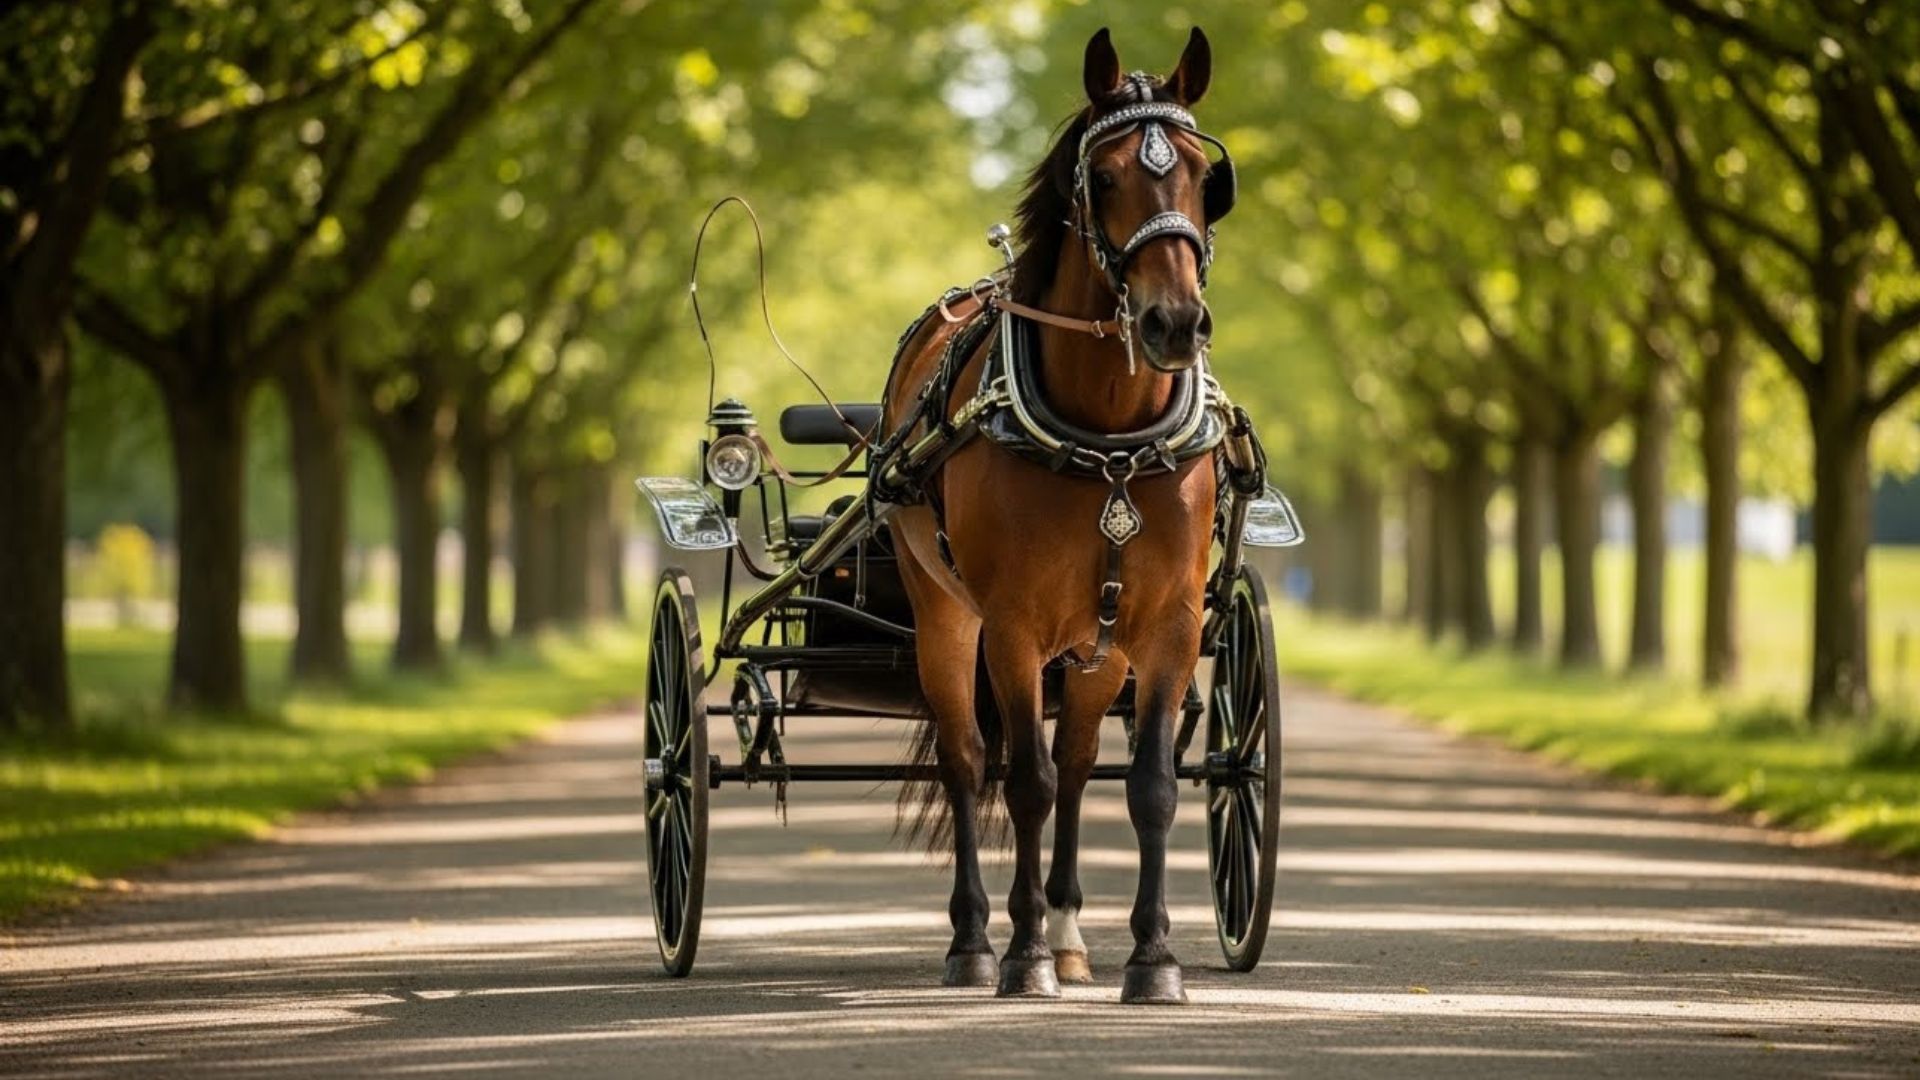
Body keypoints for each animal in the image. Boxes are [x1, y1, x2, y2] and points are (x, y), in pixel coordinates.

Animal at [882, 26, 1234, 1005]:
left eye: (1205, 175)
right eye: (1104, 177)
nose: (1173, 323)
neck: (1106, 437)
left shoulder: (1169, 625)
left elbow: (1148, 786)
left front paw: (1153, 958)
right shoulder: (1010, 623)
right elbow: (1023, 782)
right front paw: (1022, 953)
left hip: (1096, 647)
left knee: (1077, 762)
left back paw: (1073, 934)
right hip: (943, 612)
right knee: (971, 760)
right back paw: (976, 939)